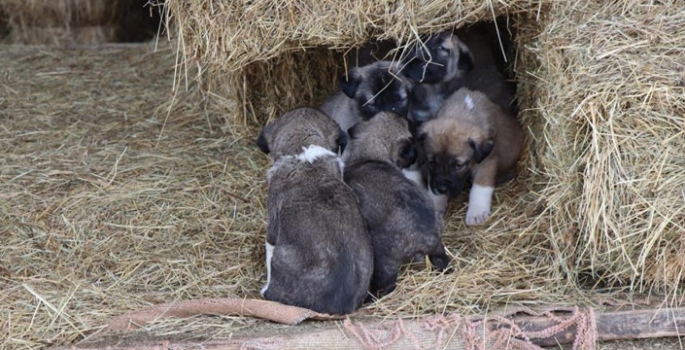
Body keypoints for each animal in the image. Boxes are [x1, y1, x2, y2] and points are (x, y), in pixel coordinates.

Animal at [416, 89, 524, 226]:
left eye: (458, 165)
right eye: (431, 163)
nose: (442, 189)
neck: (462, 111)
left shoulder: (486, 163)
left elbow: (480, 187)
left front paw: (476, 213)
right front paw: (436, 204)